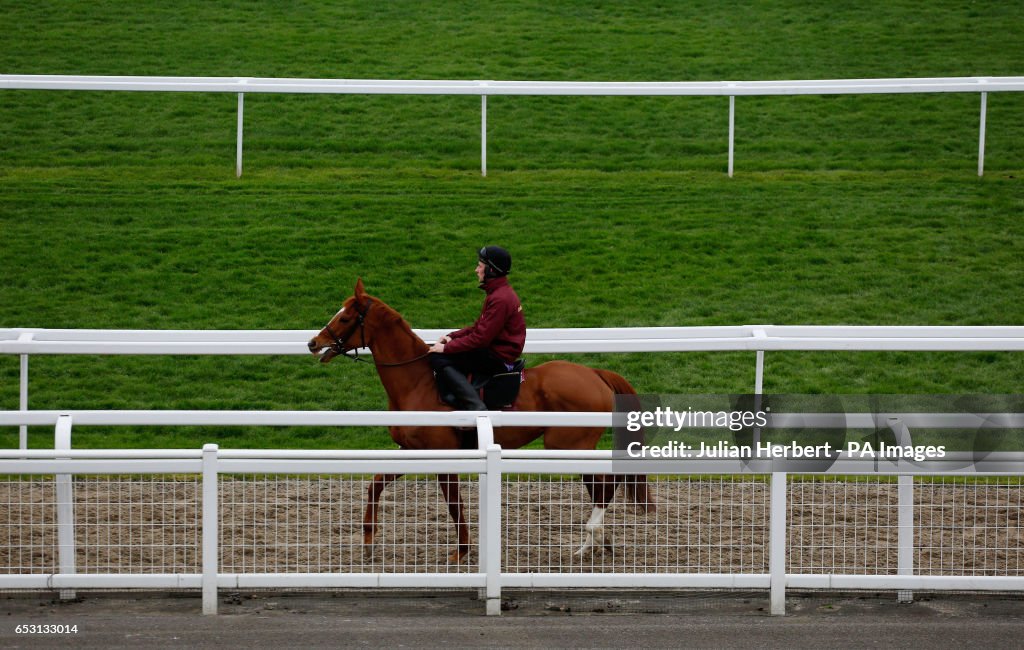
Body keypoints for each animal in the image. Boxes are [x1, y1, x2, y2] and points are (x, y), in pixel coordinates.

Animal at [305, 280, 655, 565]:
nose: (313, 343)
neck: (418, 381)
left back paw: (593, 536)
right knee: (601, 485)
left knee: (606, 484)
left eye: (345, 318)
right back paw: (596, 542)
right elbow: (374, 485)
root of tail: (596, 373)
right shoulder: (411, 449)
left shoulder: (444, 456)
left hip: (567, 444)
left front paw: (460, 552)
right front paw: (367, 540)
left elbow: (454, 505)